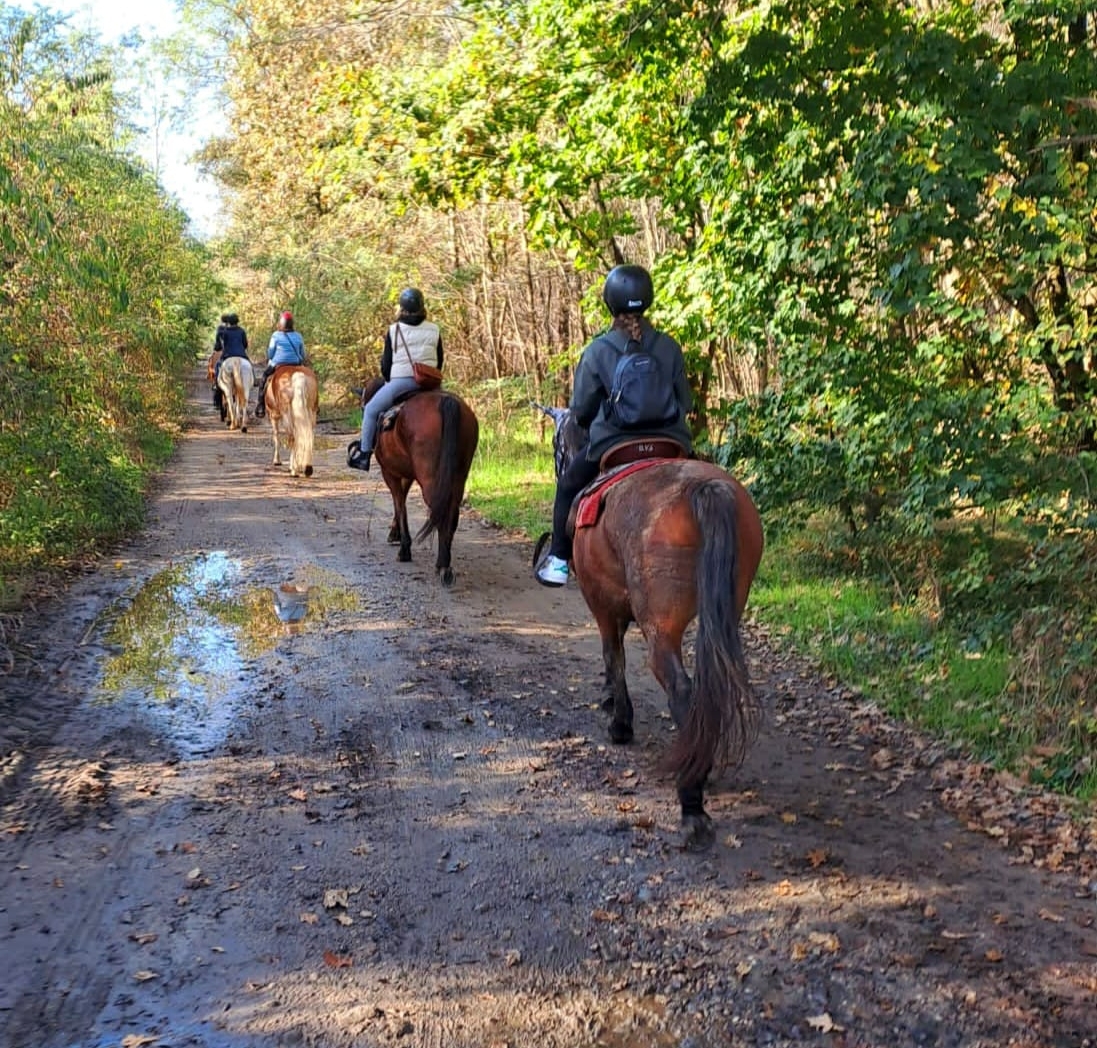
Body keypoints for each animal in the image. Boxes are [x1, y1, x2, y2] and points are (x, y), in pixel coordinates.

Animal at [362, 377, 478, 588]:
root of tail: (448, 402)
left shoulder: (389, 473)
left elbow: (399, 503)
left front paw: (404, 548)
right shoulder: (407, 474)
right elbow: (401, 500)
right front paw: (395, 533)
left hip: (430, 480)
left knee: (441, 513)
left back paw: (442, 566)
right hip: (458, 478)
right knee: (452, 514)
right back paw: (445, 563)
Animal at [546, 410, 763, 851]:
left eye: (558, 445)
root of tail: (704, 489)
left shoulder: (600, 603)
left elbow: (613, 656)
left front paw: (620, 721)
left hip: (661, 626)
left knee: (679, 687)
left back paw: (692, 804)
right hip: (723, 611)